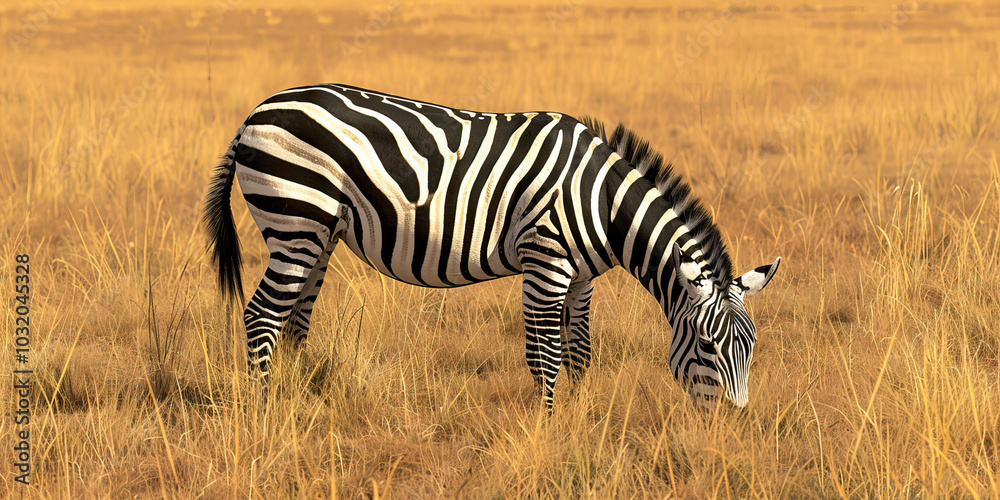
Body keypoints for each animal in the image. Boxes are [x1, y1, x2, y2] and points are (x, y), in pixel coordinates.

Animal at [204, 83, 781, 410]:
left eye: (751, 348)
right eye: (706, 347)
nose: (732, 425)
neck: (602, 202)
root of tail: (254, 114)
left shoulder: (581, 277)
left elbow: (580, 352)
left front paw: (579, 416)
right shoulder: (545, 263)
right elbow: (545, 357)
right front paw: (547, 428)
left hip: (319, 232)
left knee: (294, 319)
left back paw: (298, 402)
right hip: (295, 218)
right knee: (262, 316)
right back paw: (266, 413)